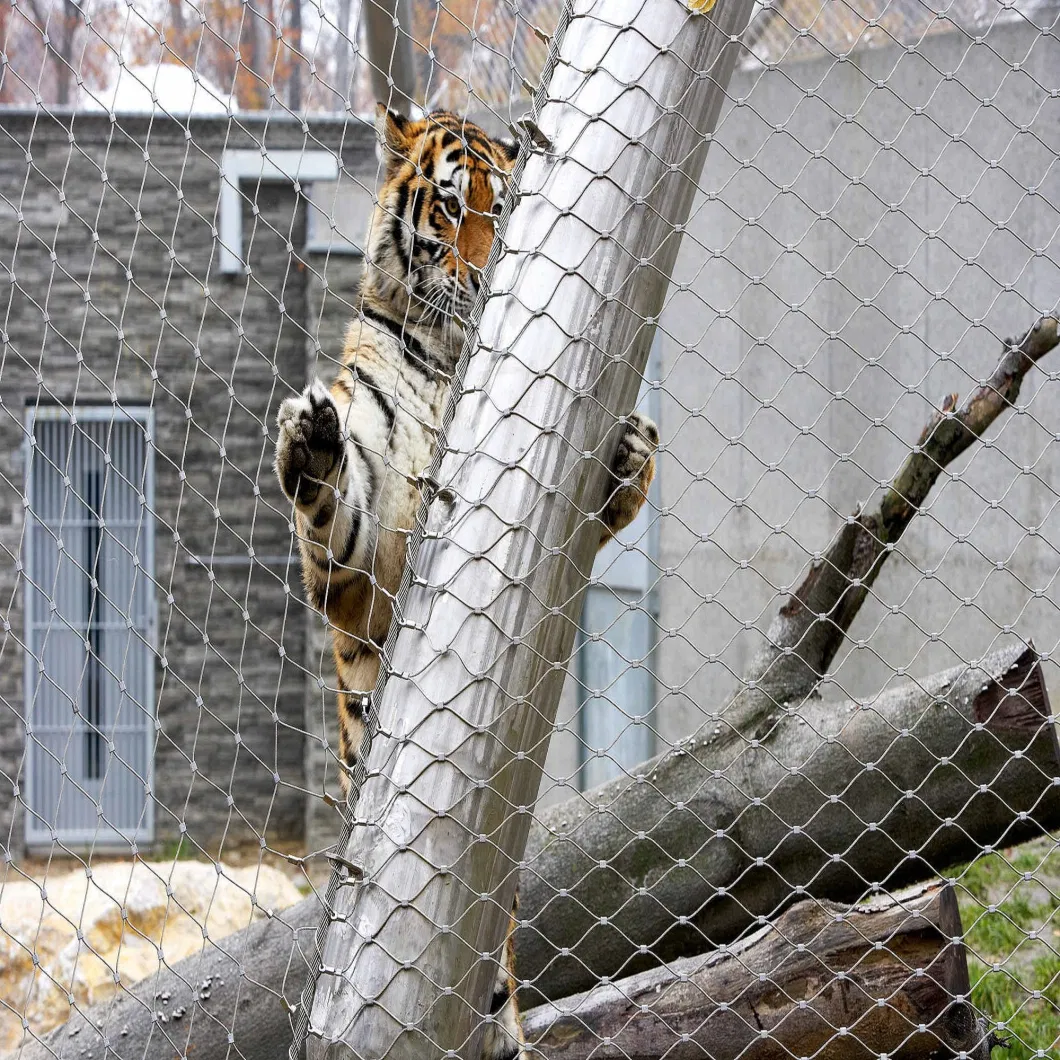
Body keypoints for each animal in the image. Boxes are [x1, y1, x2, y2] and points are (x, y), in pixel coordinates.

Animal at [273, 103, 652, 1055]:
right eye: (448, 208)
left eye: (504, 208)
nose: (483, 277)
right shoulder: (363, 561)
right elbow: (341, 504)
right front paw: (313, 443)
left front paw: (630, 452)